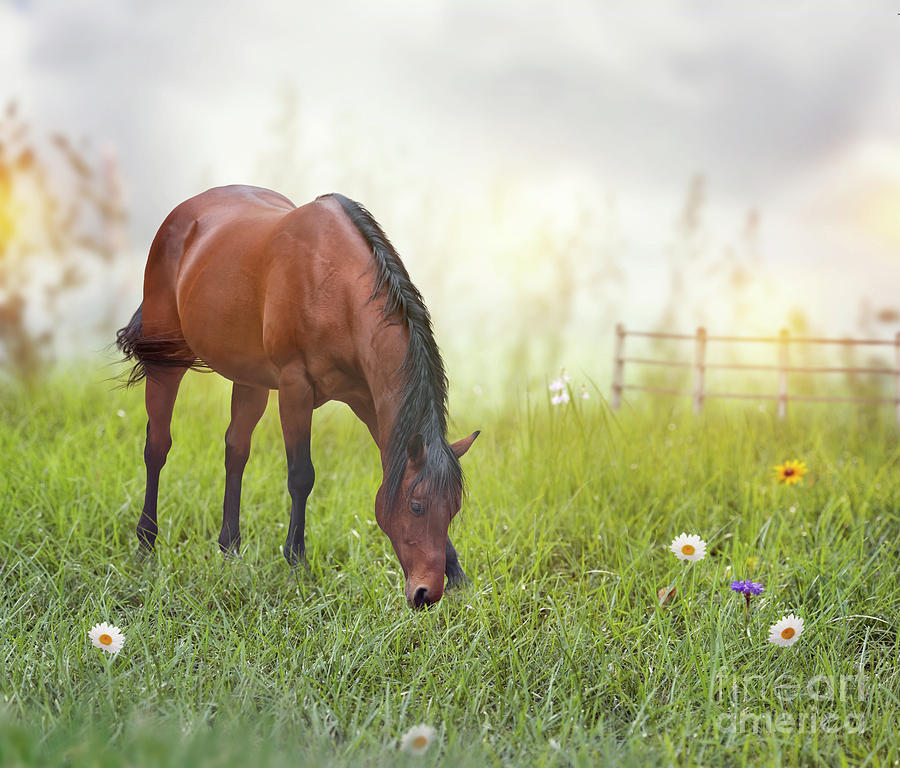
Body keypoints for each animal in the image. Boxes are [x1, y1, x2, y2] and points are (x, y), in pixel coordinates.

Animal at [115, 184, 478, 608]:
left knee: (235, 450)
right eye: (416, 506)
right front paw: (297, 562)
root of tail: (182, 213)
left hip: (250, 379)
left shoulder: (372, 403)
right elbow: (302, 475)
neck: (335, 288)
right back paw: (146, 543)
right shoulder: (295, 388)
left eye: (453, 508)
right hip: (167, 361)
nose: (426, 593)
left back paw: (230, 549)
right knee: (157, 446)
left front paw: (458, 573)